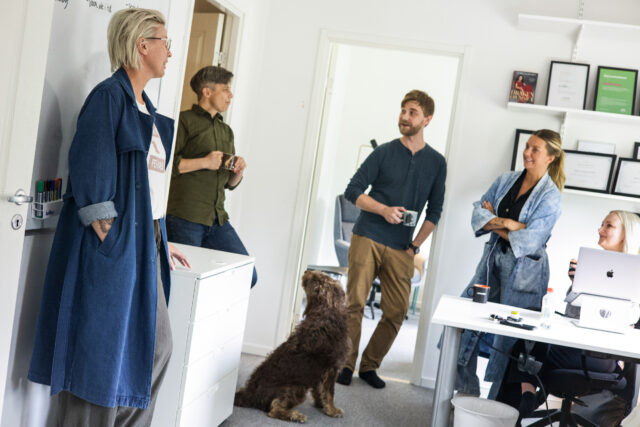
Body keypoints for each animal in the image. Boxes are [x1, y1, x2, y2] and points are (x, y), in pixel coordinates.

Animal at [234, 270, 349, 423]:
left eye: (316, 276)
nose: (306, 270)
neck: (324, 311)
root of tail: (249, 394)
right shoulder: (331, 368)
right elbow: (330, 393)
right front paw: (332, 410)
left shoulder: (320, 371)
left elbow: (319, 391)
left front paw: (321, 405)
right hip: (296, 387)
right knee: (274, 409)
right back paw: (295, 415)